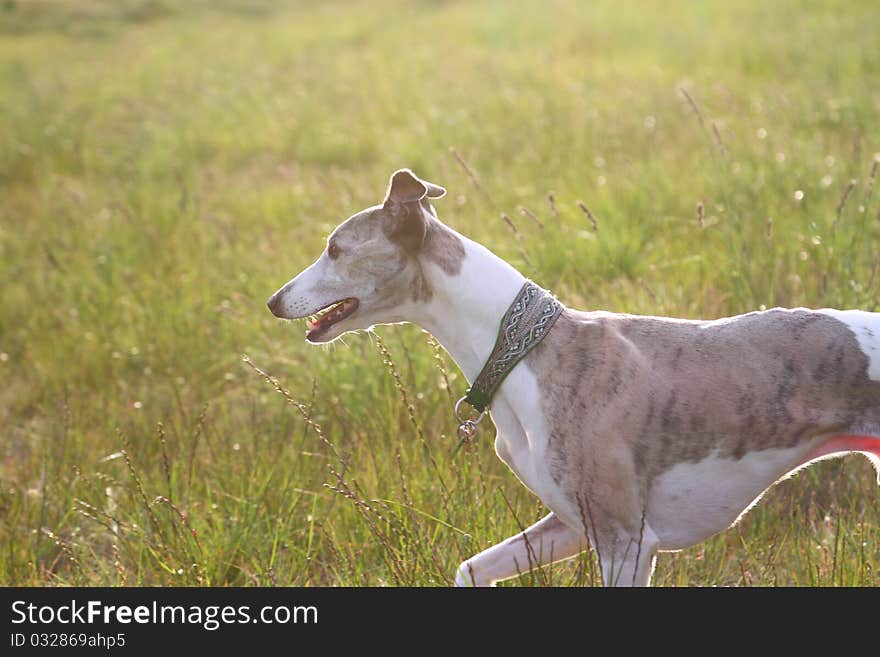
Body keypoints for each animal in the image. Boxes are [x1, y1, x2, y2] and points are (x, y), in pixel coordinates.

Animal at [268, 168, 880, 584]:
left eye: (334, 248)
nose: (273, 301)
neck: (522, 349)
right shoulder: (569, 525)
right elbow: (471, 568)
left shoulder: (625, 541)